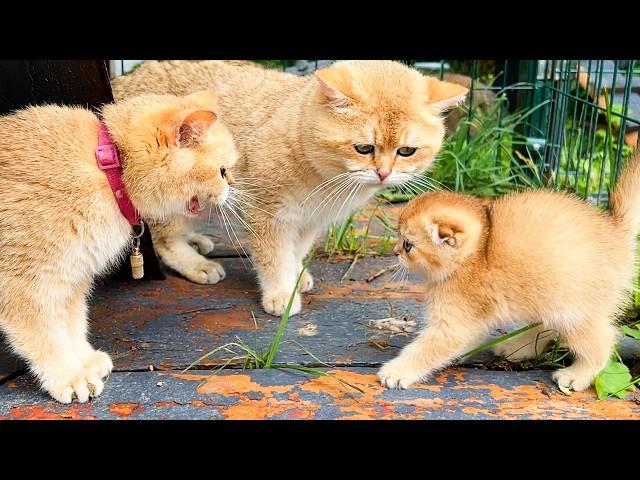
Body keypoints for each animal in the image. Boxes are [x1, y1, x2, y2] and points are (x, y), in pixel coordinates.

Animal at [0, 89, 239, 402]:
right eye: (222, 171)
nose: (232, 186)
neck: (111, 170)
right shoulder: (24, 288)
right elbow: (47, 337)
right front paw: (70, 376)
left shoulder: (72, 279)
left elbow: (73, 325)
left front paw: (85, 360)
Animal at [112, 59, 468, 316]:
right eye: (364, 148)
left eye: (406, 151)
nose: (383, 173)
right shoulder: (268, 214)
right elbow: (273, 257)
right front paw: (281, 292)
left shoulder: (310, 219)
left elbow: (296, 251)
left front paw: (296, 274)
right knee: (164, 240)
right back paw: (197, 263)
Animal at [380, 151, 640, 394]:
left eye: (408, 245)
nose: (394, 251)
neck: (477, 253)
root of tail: (616, 230)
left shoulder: (454, 323)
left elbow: (426, 349)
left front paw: (396, 371)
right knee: (547, 326)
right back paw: (517, 347)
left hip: (574, 311)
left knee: (604, 341)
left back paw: (577, 376)